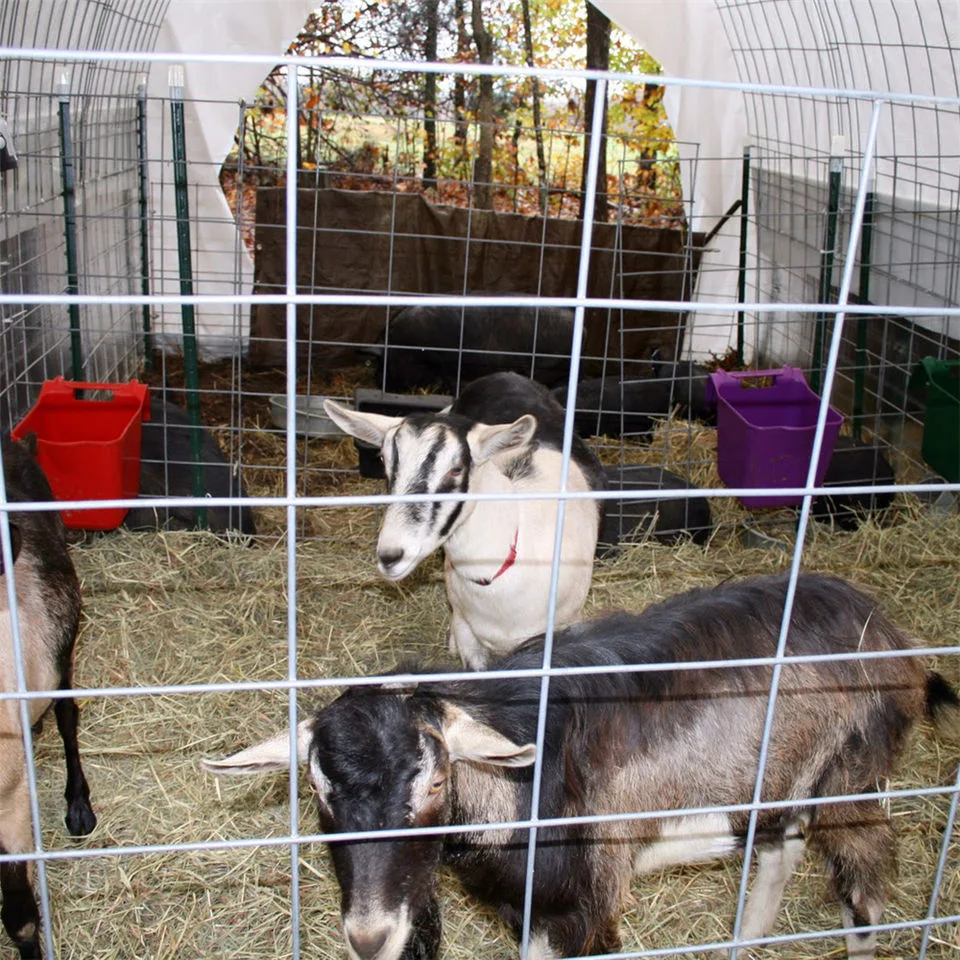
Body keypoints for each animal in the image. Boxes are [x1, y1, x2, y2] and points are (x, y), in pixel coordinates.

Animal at [204, 572, 960, 956]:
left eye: (436, 779)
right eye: (317, 789)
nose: (369, 935)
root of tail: (890, 632)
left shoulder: (580, 908)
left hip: (853, 776)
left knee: (864, 883)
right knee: (782, 842)